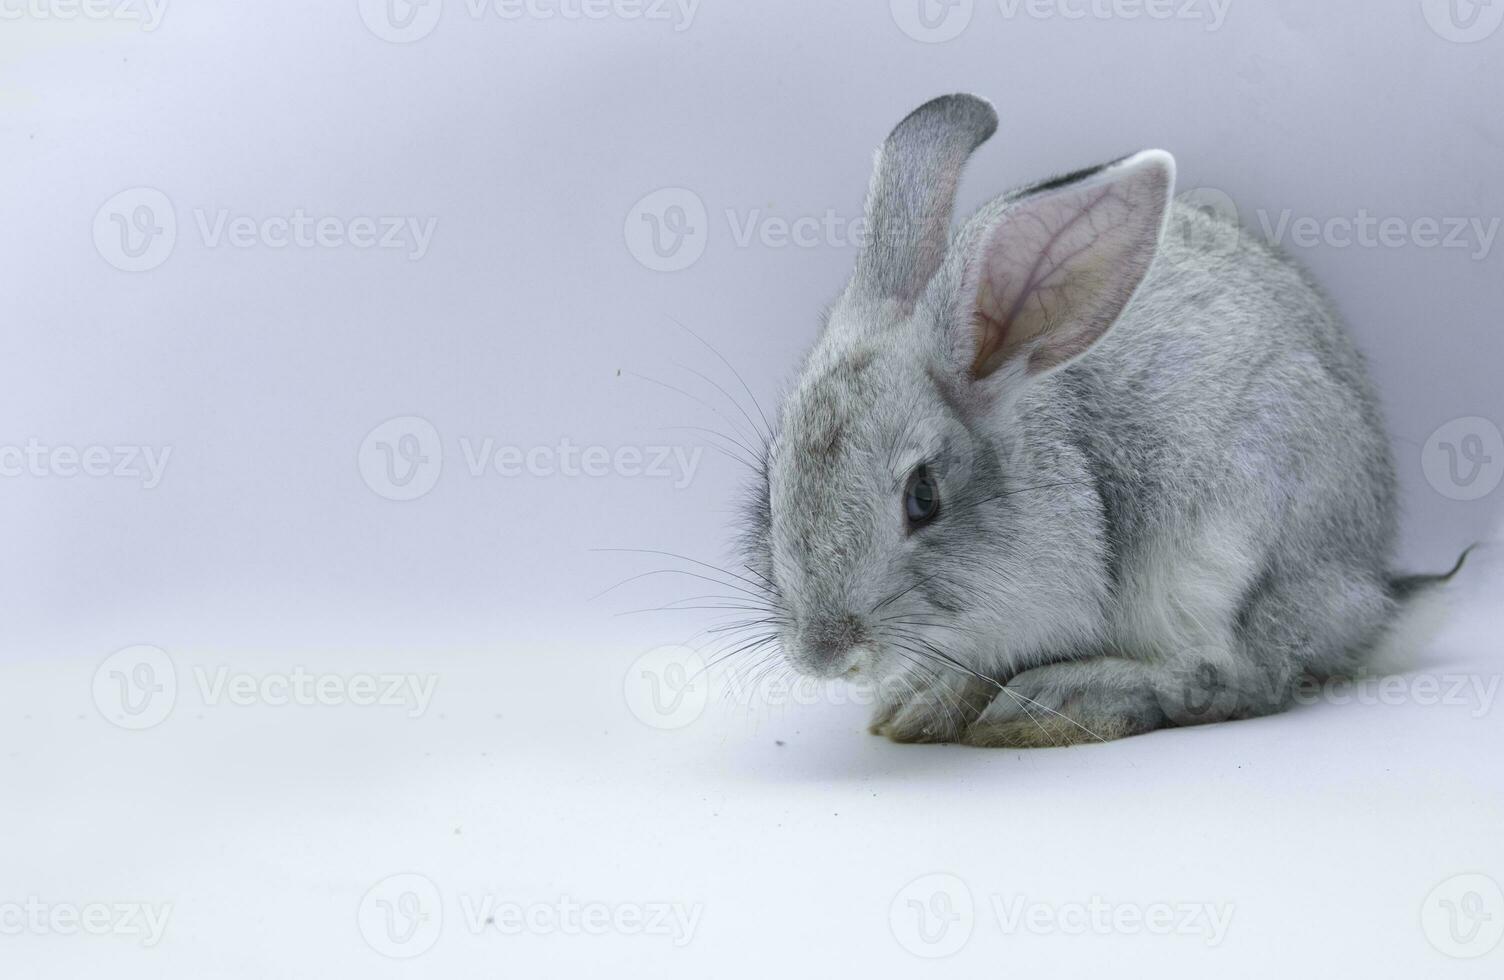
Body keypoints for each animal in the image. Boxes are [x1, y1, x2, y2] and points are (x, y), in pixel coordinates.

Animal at [739, 95, 1467, 745]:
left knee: (1241, 677)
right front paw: (910, 705)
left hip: (1237, 553)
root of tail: (1373, 597)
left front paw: (937, 705)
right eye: (771, 487)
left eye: (923, 498)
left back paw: (1062, 699)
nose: (824, 654)